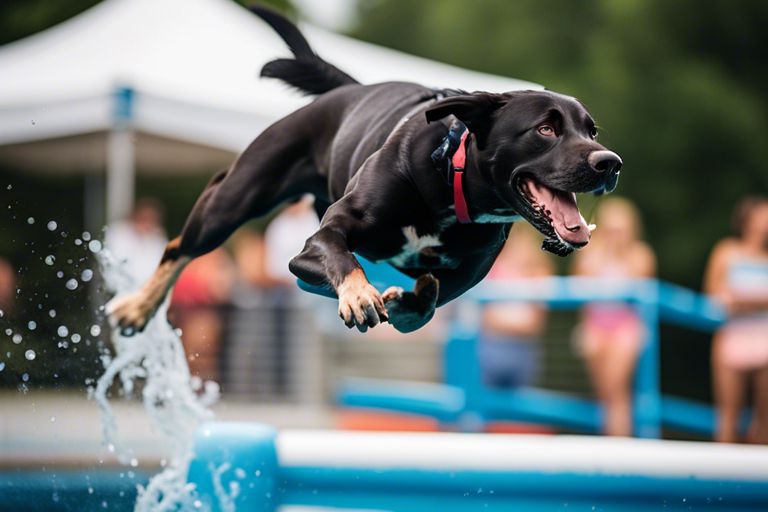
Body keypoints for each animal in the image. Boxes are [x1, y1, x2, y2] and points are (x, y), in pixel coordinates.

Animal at [109, 7, 624, 336]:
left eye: (591, 130)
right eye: (545, 129)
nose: (610, 163)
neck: (450, 182)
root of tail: (348, 90)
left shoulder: (468, 275)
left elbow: (433, 297)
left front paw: (406, 306)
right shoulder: (319, 238)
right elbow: (343, 259)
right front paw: (360, 296)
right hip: (232, 199)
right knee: (179, 247)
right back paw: (136, 309)